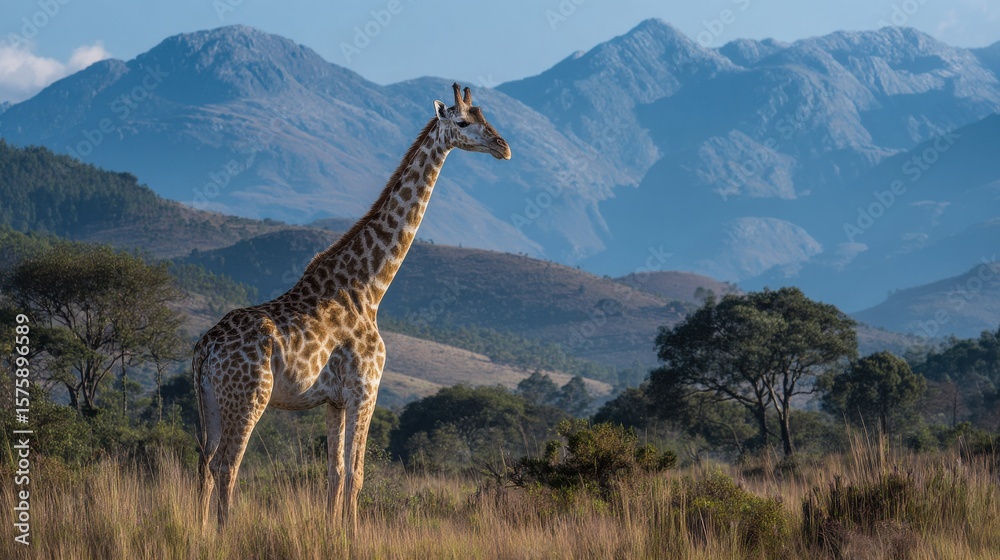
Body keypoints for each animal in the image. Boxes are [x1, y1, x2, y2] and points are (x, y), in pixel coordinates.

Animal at [193, 83, 511, 529]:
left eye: (486, 117)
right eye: (464, 122)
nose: (503, 147)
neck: (369, 288)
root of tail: (205, 348)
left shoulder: (334, 400)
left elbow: (335, 472)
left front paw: (333, 531)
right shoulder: (366, 388)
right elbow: (357, 474)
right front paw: (352, 534)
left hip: (210, 401)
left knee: (204, 463)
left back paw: (202, 530)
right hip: (248, 397)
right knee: (227, 465)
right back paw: (225, 531)